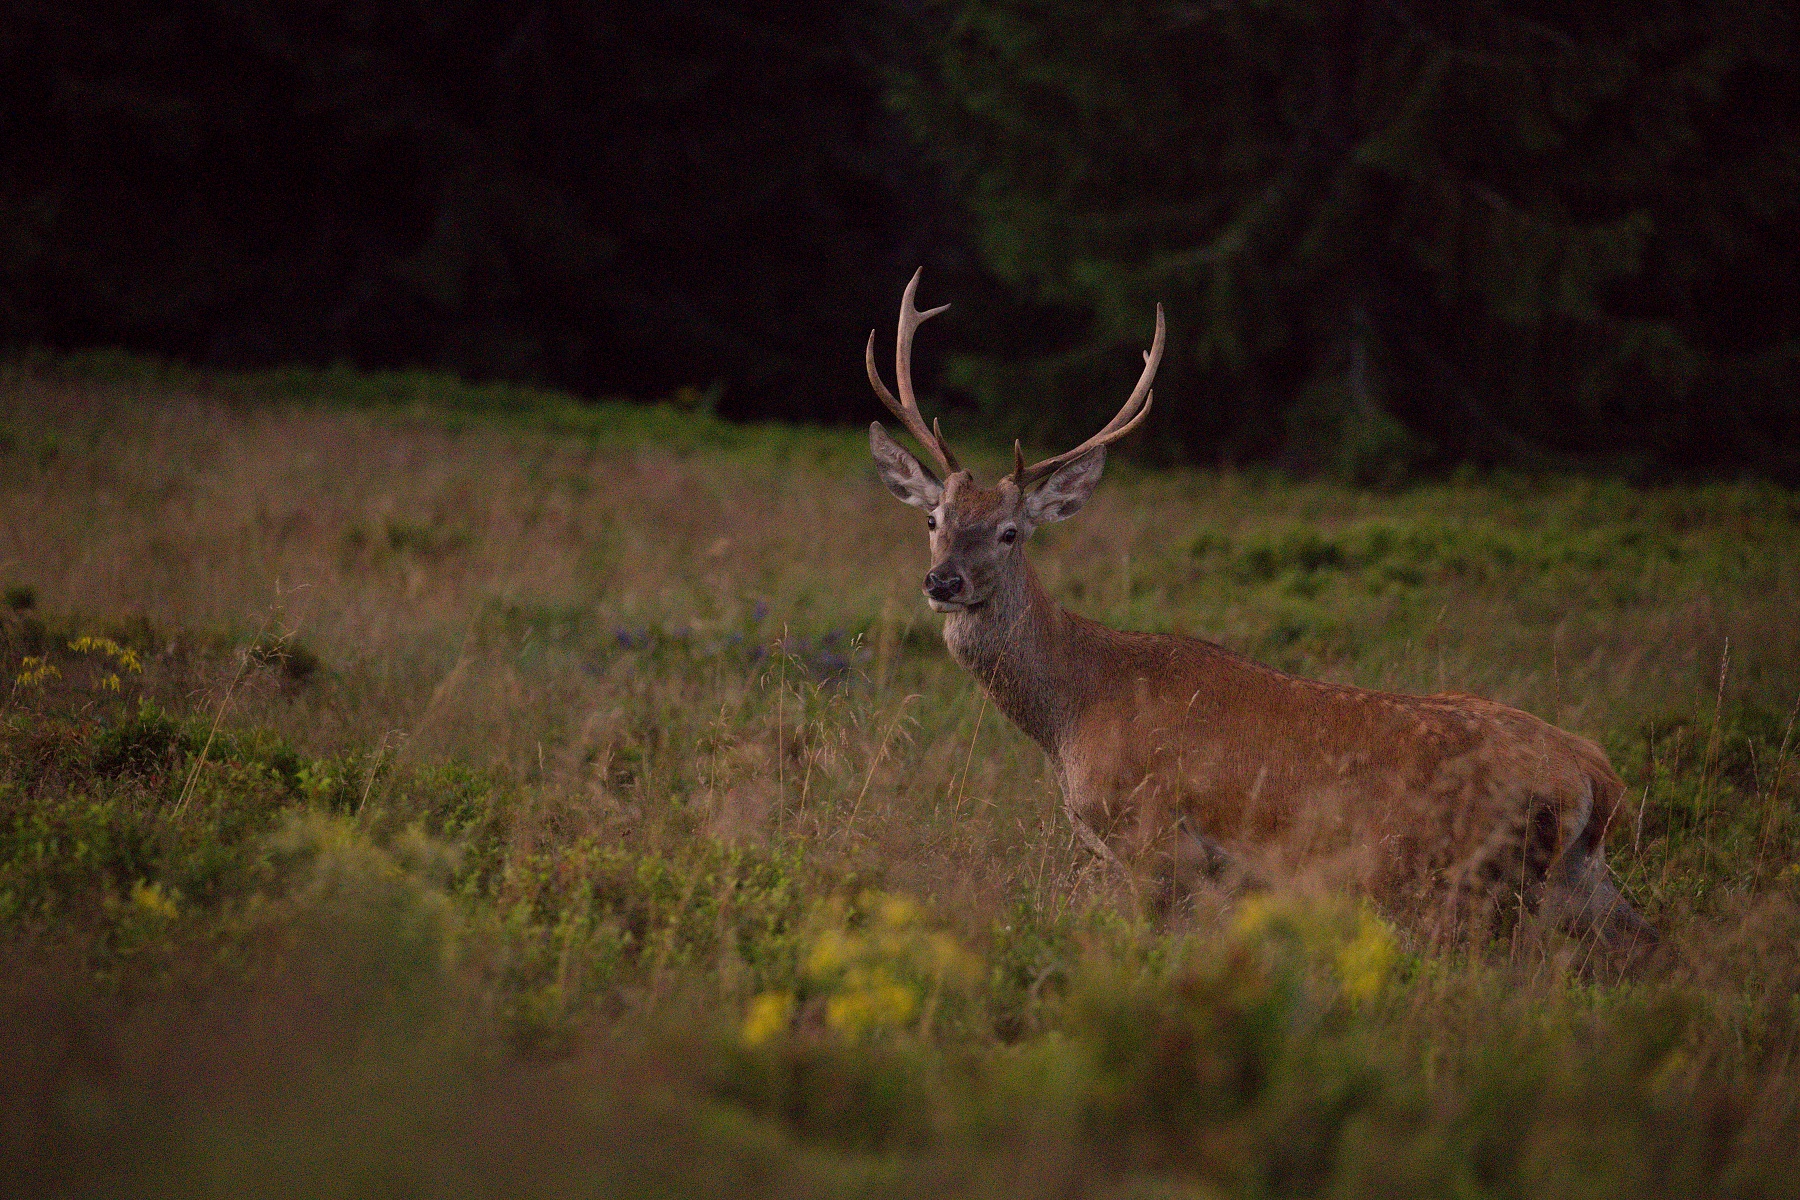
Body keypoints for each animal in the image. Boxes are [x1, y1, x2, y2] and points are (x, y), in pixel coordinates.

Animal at [864, 271, 1648, 957]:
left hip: (1474, 878)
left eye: (1009, 532)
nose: (942, 581)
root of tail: (1596, 776)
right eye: (933, 518)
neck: (1073, 714)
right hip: (1581, 879)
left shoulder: (1154, 838)